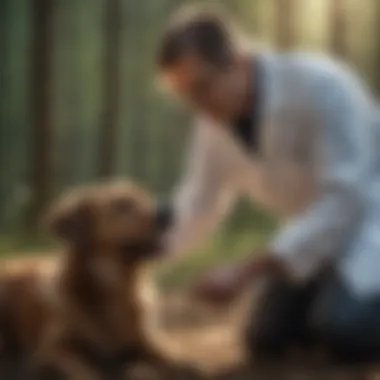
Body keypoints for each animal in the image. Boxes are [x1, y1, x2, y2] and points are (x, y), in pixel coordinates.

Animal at [0, 181, 200, 380]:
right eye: (121, 206)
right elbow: (84, 371)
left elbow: (173, 357)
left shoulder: (146, 339)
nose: (168, 212)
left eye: (144, 197)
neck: (115, 288)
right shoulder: (49, 351)